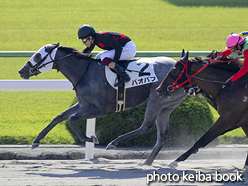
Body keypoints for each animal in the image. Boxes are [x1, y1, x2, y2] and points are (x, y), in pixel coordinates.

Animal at [18, 43, 188, 164]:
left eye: (37, 55)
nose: (21, 71)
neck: (85, 72)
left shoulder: (99, 109)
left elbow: (72, 119)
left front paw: (91, 138)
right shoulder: (83, 104)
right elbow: (59, 117)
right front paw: (36, 141)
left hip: (156, 99)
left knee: (146, 126)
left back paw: (114, 143)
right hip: (167, 105)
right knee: (162, 134)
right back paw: (147, 162)